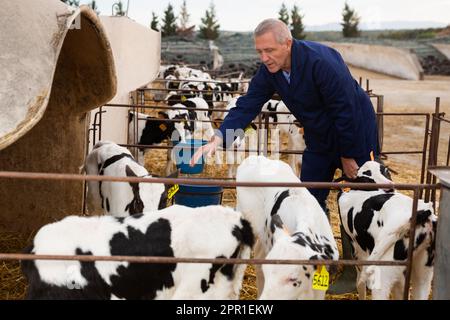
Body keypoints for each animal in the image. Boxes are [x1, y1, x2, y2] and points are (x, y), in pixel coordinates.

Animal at [340, 162, 438, 300]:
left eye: (386, 171)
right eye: (366, 179)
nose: (389, 186)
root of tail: (423, 213)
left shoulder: (358, 253)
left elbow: (360, 284)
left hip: (383, 272)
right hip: (424, 272)